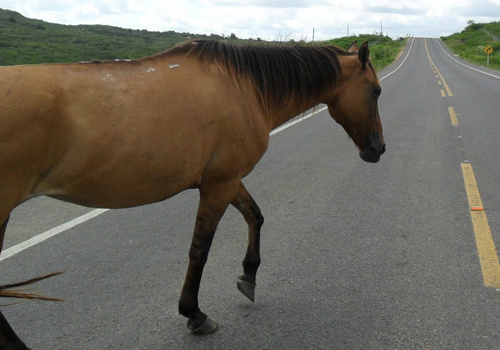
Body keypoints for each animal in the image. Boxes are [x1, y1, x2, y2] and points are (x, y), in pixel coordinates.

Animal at [0, 40, 384, 348]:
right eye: (376, 91)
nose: (378, 149)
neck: (244, 88)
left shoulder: (225, 179)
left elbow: (255, 216)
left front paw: (248, 276)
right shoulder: (220, 184)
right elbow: (200, 250)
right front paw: (194, 314)